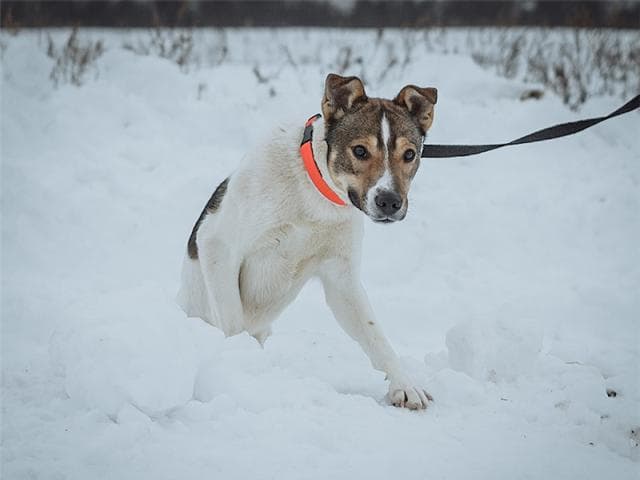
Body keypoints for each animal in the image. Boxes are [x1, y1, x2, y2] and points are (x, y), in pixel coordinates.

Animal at [180, 73, 440, 410]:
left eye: (409, 155)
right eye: (360, 151)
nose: (389, 202)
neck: (315, 193)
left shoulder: (341, 279)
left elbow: (375, 335)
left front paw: (404, 384)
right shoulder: (217, 245)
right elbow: (233, 322)